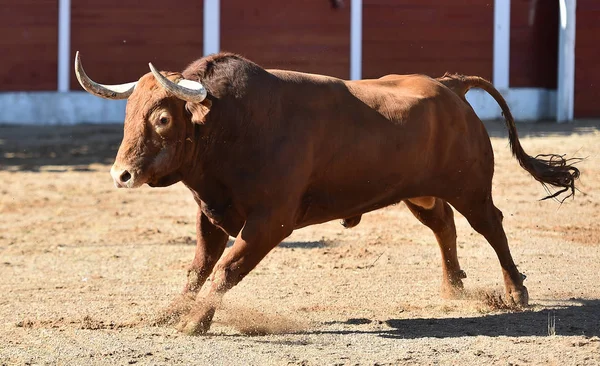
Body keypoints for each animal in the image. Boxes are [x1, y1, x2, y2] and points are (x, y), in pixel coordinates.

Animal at [72, 51, 580, 334]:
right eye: (128, 115)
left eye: (162, 117)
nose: (120, 174)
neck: (231, 123)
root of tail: (449, 85)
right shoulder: (211, 214)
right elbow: (199, 267)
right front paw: (170, 313)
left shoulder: (270, 222)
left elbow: (226, 269)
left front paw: (195, 323)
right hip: (419, 191)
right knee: (443, 224)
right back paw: (452, 288)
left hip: (469, 186)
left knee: (490, 225)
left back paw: (516, 291)